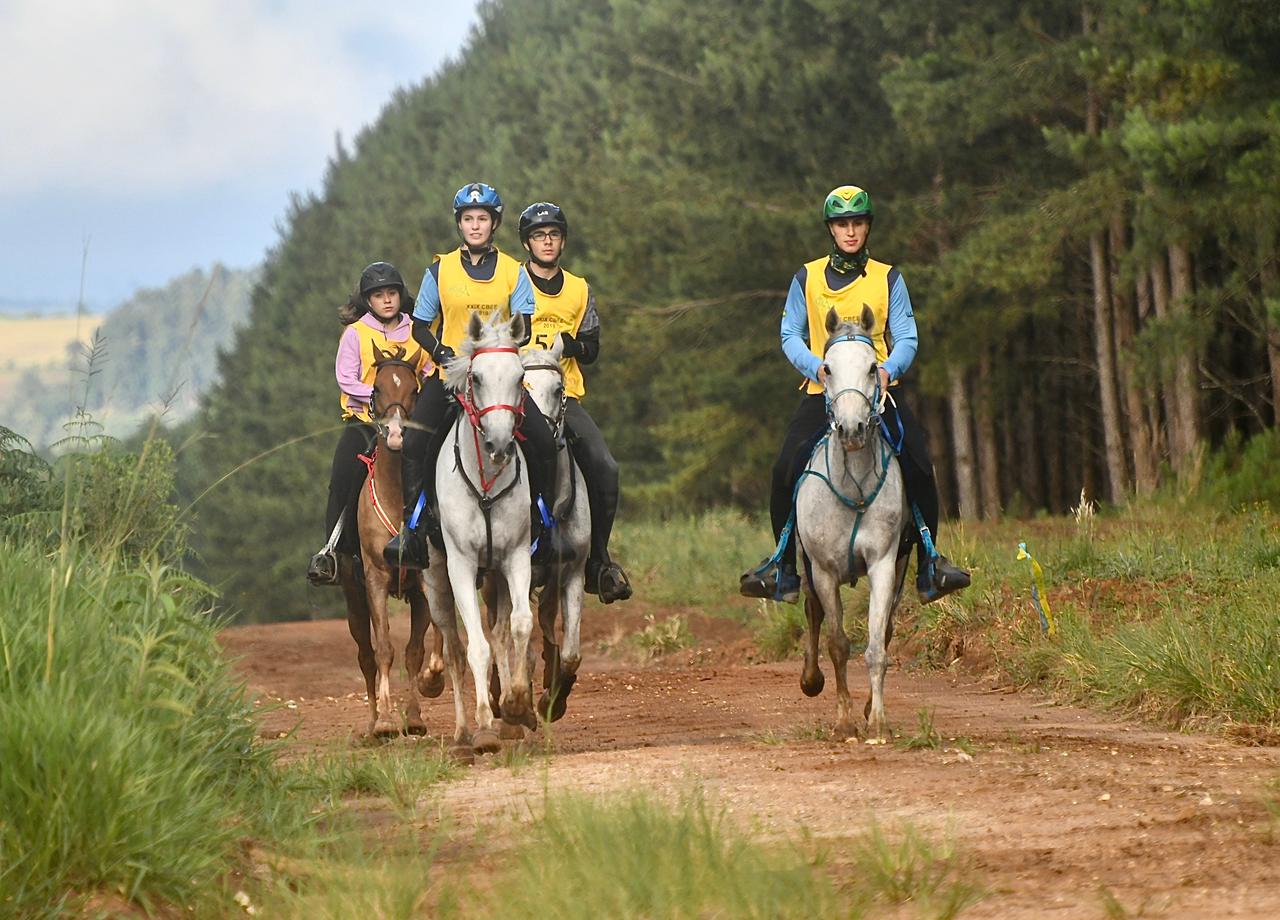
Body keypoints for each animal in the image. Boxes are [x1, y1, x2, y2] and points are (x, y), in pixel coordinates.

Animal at [422, 309, 537, 757]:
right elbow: (476, 647)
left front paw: (516, 704)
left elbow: (519, 625)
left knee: (503, 632)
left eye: (521, 377)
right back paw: (462, 732)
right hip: (436, 581)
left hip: (496, 579)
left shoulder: (516, 557)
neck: (486, 482)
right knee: (455, 649)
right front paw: (486, 725)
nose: (500, 444)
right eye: (477, 378)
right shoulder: (461, 565)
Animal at [788, 307, 911, 742]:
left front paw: (877, 721)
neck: (853, 484)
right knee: (812, 613)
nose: (853, 429)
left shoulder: (883, 562)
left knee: (886, 628)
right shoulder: (823, 570)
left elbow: (876, 645)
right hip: (806, 565)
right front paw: (843, 722)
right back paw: (811, 680)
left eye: (873, 367)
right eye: (827, 369)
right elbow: (838, 643)